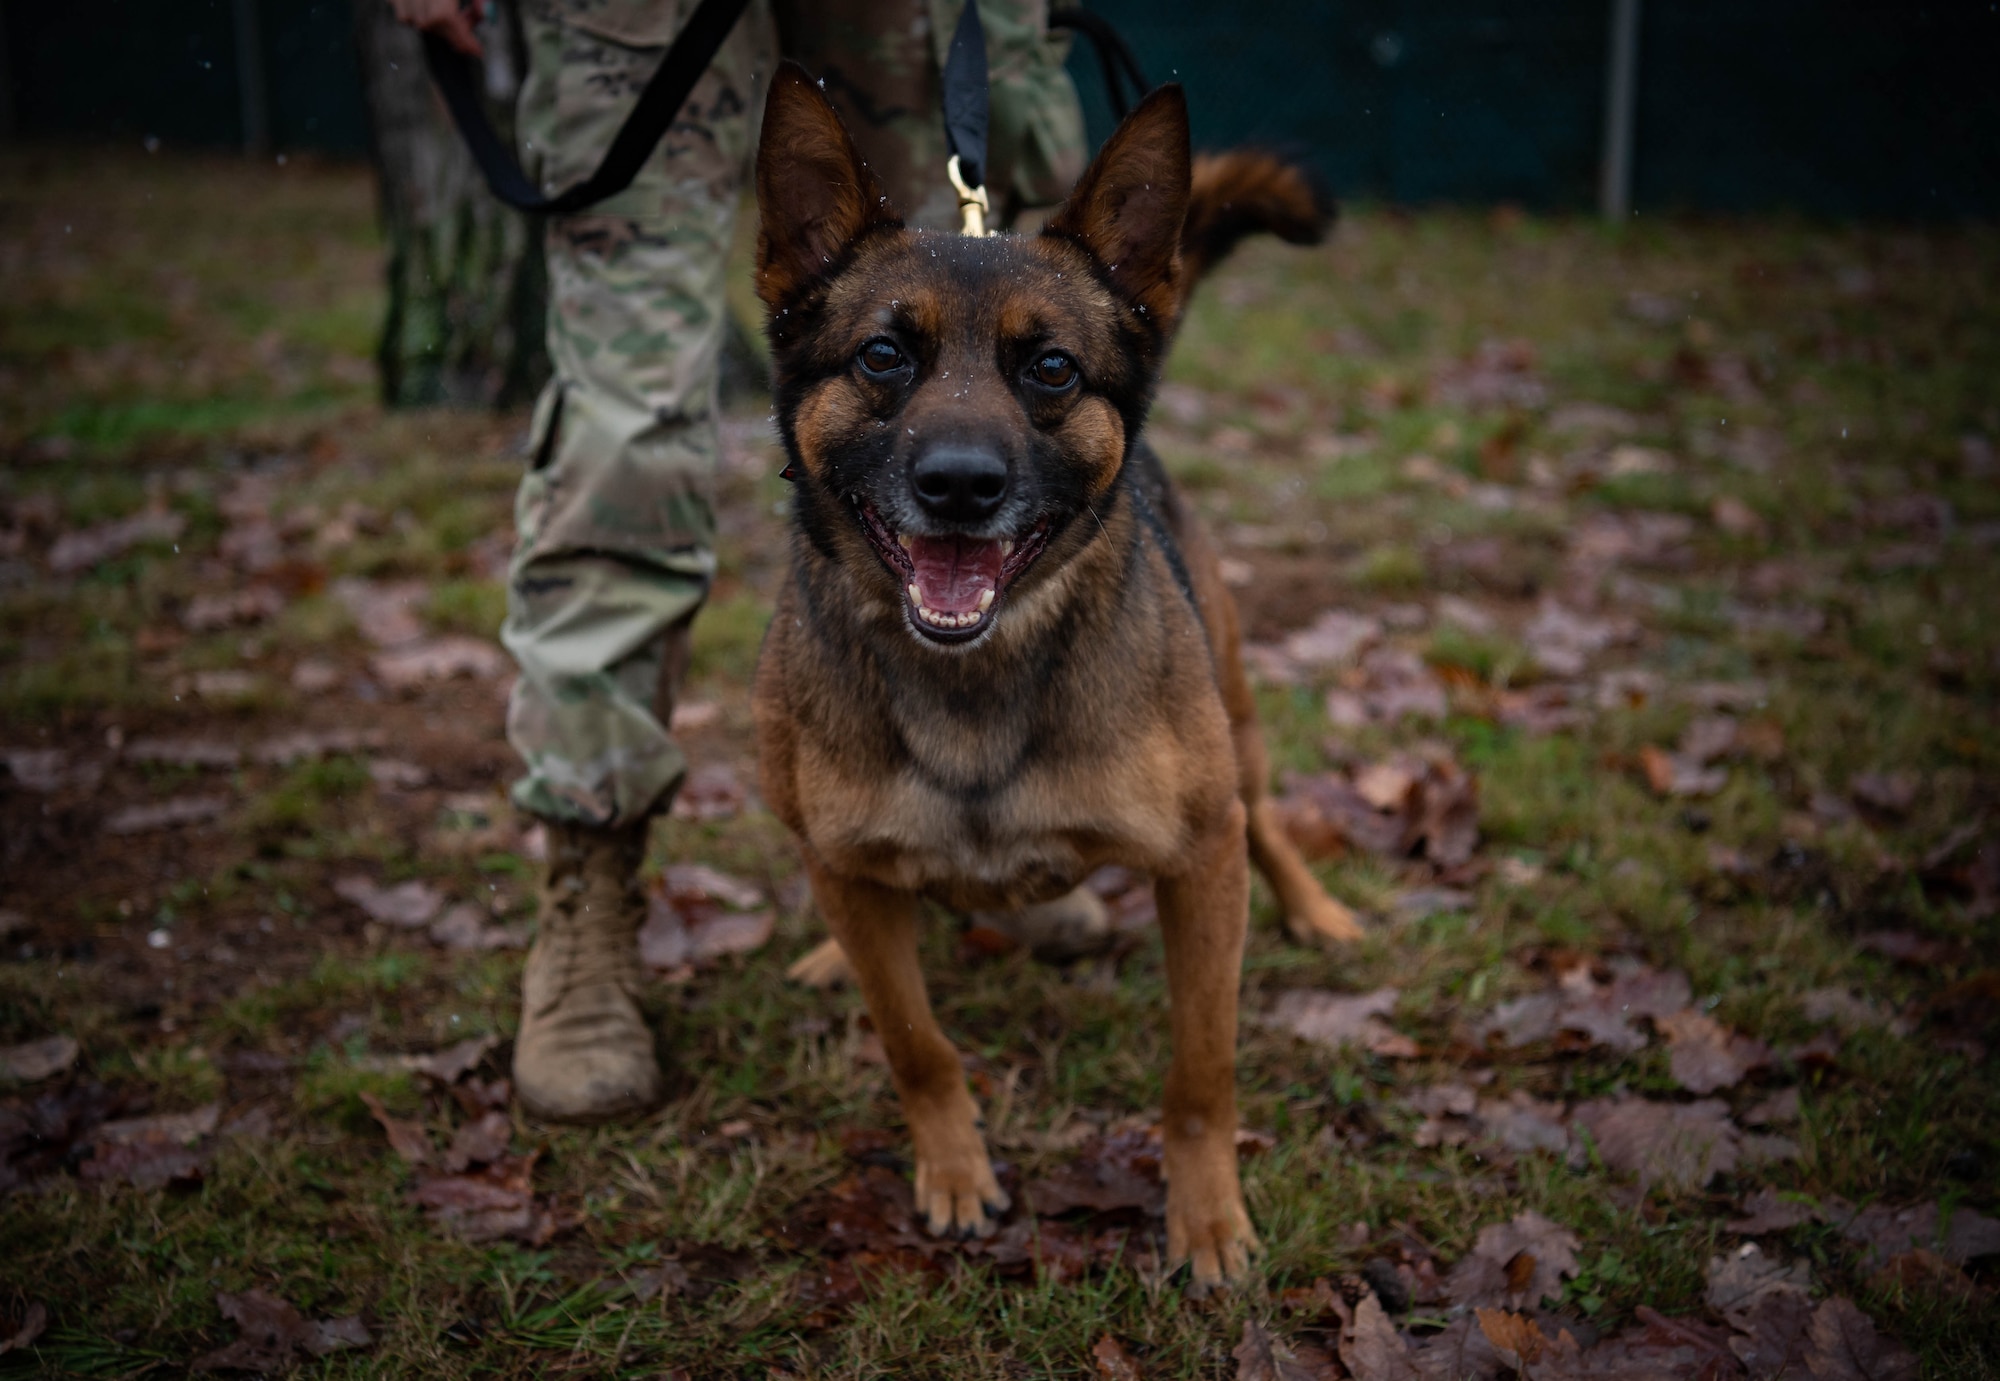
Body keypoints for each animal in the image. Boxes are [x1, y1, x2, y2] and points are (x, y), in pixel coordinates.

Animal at [752, 61, 1360, 1288]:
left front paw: (1206, 1218)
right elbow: (916, 1041)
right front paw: (952, 1167)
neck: (979, 675)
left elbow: (1200, 1070)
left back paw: (1314, 910)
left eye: (1050, 369)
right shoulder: (845, 867)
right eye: (882, 356)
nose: (958, 485)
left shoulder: (1199, 861)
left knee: (1269, 817)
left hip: (1237, 725)